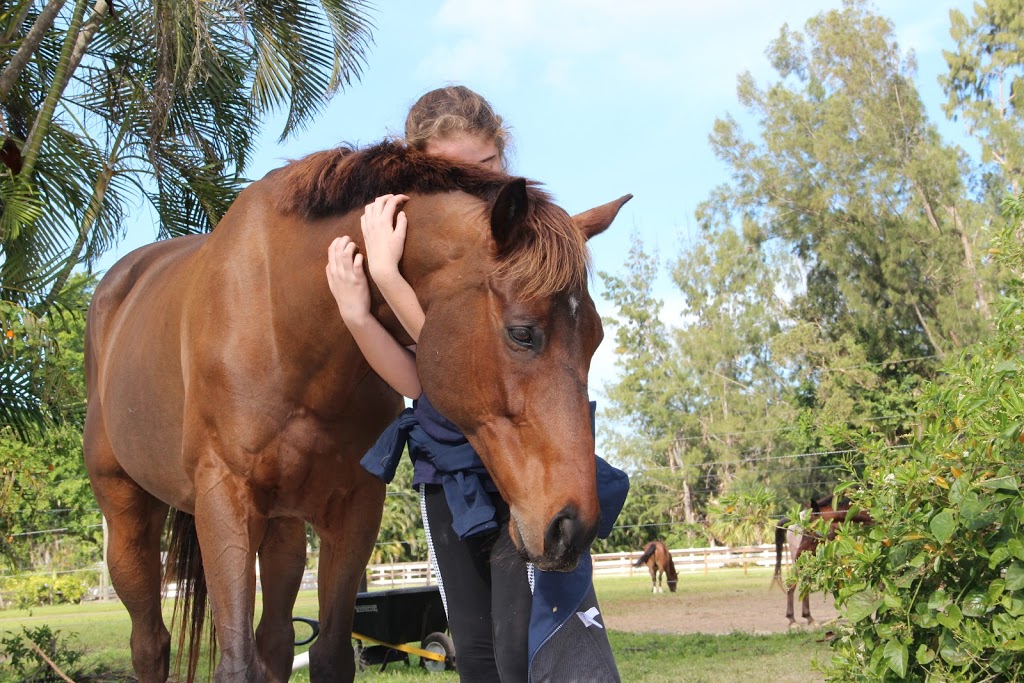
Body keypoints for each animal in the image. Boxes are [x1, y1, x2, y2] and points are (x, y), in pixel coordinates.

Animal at [83, 140, 630, 683]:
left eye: (595, 340)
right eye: (522, 333)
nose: (573, 528)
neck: (287, 319)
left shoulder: (355, 509)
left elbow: (330, 656)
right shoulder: (224, 500)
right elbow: (236, 665)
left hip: (283, 527)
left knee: (275, 641)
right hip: (128, 514)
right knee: (150, 644)